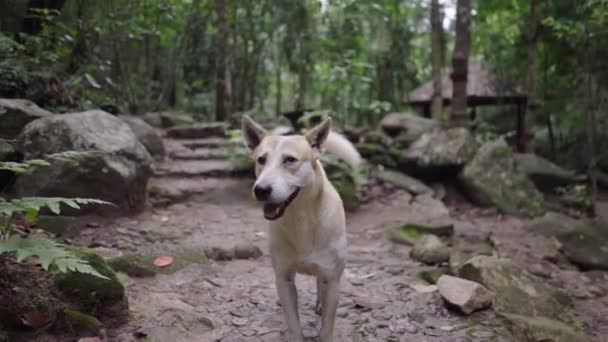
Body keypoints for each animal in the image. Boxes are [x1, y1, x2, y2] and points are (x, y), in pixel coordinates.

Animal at [242, 115, 364, 342]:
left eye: (290, 160)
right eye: (261, 160)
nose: (261, 190)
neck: (301, 220)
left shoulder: (332, 279)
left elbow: (327, 325)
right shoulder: (284, 277)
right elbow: (293, 321)